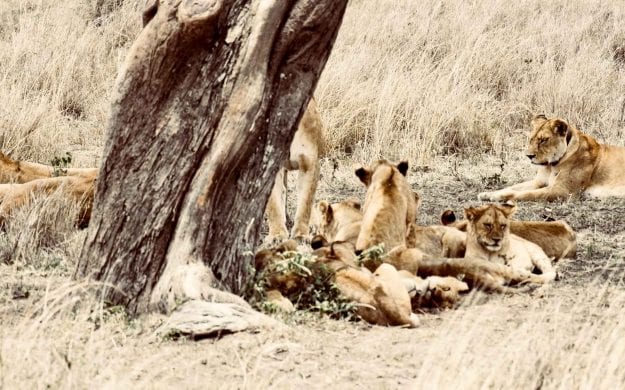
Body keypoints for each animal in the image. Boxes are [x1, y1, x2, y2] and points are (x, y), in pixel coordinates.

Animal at [480, 114, 624, 201]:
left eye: (543, 140)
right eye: (531, 139)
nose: (529, 156)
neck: (550, 166)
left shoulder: (562, 190)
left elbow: (526, 194)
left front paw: (502, 197)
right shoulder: (538, 182)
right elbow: (513, 187)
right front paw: (488, 194)